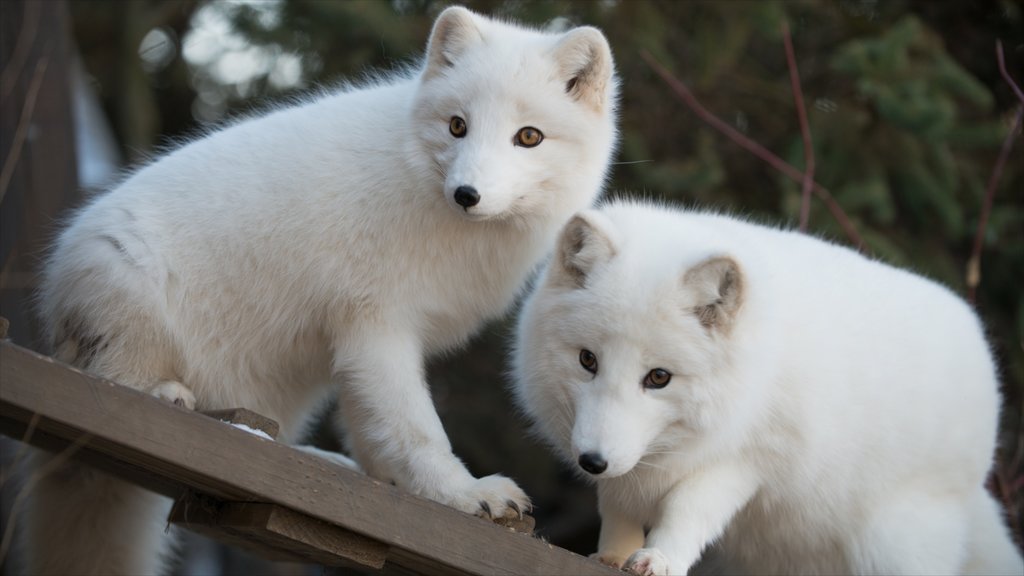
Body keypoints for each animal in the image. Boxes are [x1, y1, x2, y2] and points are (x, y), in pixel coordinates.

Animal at [32, 5, 618, 573]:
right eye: (457, 126)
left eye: (528, 136)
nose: (466, 194)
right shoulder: (376, 323)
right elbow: (416, 428)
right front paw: (463, 495)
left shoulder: (364, 340)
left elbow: (376, 430)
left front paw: (398, 488)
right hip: (125, 294)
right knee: (107, 376)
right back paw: (161, 393)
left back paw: (321, 461)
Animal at [516, 198, 1019, 573]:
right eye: (588, 360)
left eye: (658, 378)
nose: (592, 461)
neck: (749, 376)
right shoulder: (625, 469)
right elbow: (617, 509)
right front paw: (612, 555)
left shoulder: (743, 461)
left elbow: (687, 511)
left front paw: (660, 559)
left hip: (891, 547)